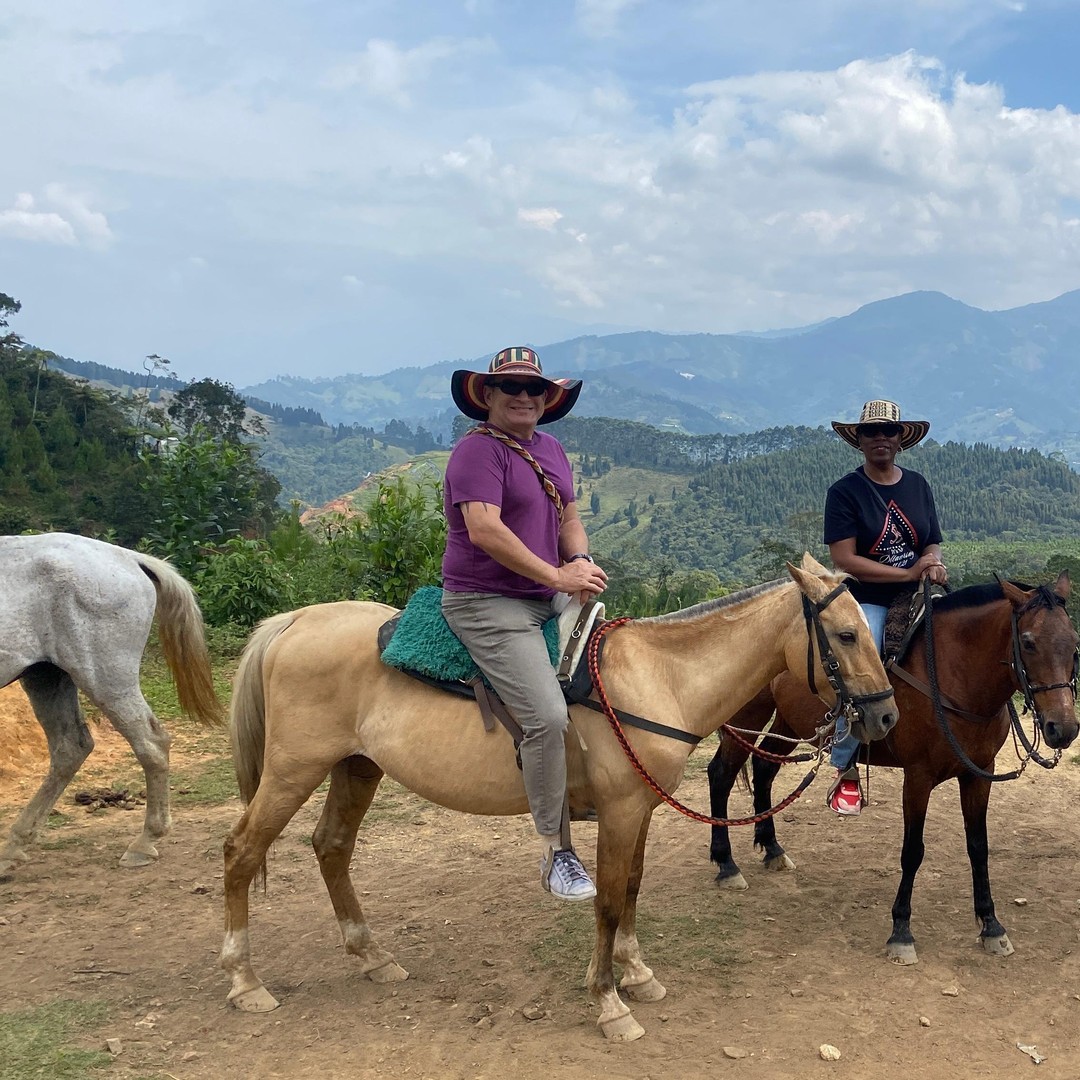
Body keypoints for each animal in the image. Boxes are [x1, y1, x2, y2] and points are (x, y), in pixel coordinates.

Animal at [0, 533, 223, 876]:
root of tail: (130, 558)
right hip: (46, 676)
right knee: (70, 748)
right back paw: (15, 846)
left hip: (103, 677)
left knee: (151, 743)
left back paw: (144, 842)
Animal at [220, 555, 897, 1041]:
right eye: (845, 634)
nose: (884, 716)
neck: (659, 677)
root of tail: (296, 622)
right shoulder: (619, 811)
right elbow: (607, 901)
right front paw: (610, 1003)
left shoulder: (639, 809)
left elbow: (632, 889)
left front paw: (638, 974)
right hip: (293, 770)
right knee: (241, 852)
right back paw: (245, 981)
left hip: (357, 767)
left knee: (331, 846)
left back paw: (372, 957)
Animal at [707, 573, 1079, 965]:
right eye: (1028, 642)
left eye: (1074, 644)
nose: (1063, 728)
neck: (951, 675)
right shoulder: (918, 777)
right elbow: (912, 851)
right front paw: (901, 930)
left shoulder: (978, 774)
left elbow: (978, 846)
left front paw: (991, 925)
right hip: (746, 715)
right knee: (721, 774)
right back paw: (726, 864)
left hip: (790, 723)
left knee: (763, 768)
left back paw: (773, 848)